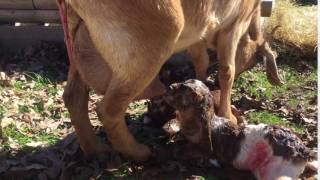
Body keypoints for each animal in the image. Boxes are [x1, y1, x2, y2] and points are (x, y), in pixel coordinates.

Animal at [57, 0, 262, 160]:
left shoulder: (198, 32)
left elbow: (200, 60)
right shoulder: (234, 25)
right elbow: (227, 72)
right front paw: (229, 116)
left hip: (75, 44)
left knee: (74, 98)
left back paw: (96, 149)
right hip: (150, 47)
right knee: (108, 109)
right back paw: (136, 152)